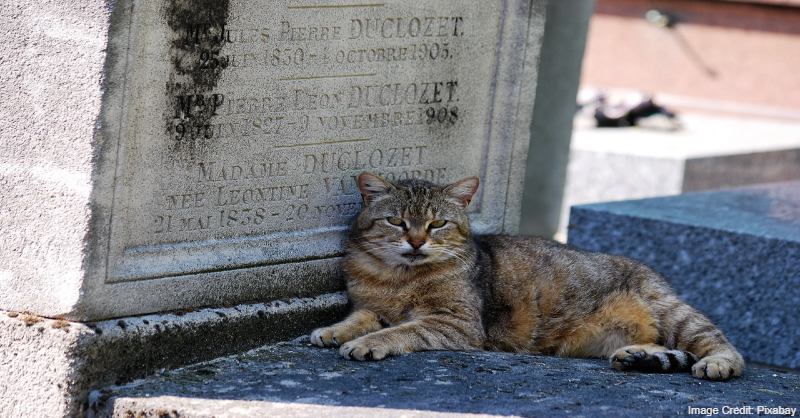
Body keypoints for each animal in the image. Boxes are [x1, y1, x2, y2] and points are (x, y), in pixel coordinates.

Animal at [308, 171, 744, 380]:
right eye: (396, 221)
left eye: (438, 224)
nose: (416, 241)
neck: (399, 277)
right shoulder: (371, 305)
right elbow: (359, 317)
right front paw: (332, 331)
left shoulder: (455, 323)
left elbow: (401, 331)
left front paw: (367, 343)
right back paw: (641, 357)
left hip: (675, 314)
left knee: (723, 347)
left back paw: (717, 364)